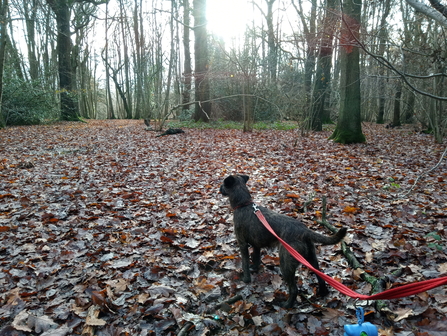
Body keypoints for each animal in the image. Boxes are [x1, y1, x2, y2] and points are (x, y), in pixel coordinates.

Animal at [220, 175, 346, 308]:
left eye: (223, 184)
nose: (220, 188)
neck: (244, 204)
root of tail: (304, 230)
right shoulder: (256, 245)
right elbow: (256, 258)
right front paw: (254, 268)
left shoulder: (242, 244)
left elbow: (245, 263)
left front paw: (245, 279)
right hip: (311, 258)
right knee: (320, 277)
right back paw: (322, 293)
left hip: (285, 263)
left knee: (294, 289)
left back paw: (287, 305)